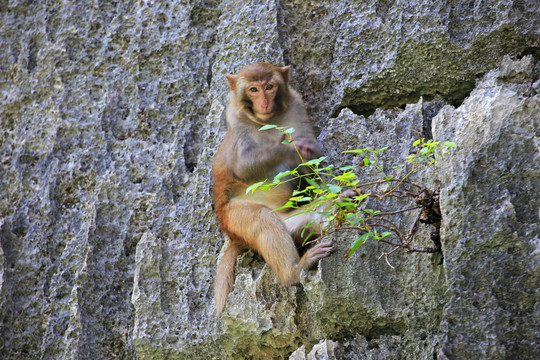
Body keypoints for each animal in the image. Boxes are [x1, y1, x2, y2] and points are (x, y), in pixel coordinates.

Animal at [211, 63, 334, 316]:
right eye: (254, 89)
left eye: (269, 87)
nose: (264, 102)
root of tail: (233, 236)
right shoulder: (235, 118)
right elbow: (243, 166)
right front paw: (292, 146)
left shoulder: (297, 106)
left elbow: (311, 167)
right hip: (234, 217)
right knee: (262, 221)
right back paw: (295, 272)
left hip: (284, 217)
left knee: (292, 222)